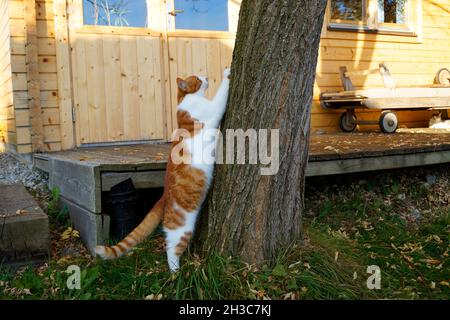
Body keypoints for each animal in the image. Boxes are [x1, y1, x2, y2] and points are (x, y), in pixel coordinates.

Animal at [93, 68, 230, 272]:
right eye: (197, 79)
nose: (205, 77)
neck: (183, 99)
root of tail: (163, 196)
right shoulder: (212, 109)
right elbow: (221, 95)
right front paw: (227, 74)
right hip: (182, 229)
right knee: (171, 249)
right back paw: (176, 272)